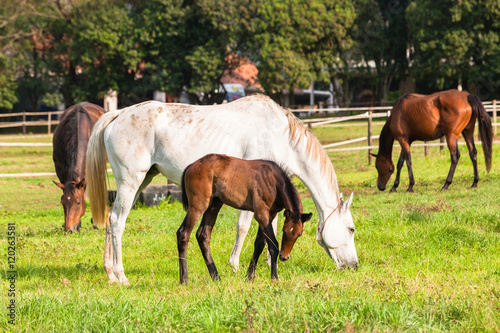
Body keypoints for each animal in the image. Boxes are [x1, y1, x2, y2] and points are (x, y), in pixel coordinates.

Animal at [179, 153, 312, 282]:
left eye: (299, 234)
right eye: (284, 230)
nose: (284, 257)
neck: (274, 181)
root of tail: (192, 166)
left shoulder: (270, 215)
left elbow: (260, 244)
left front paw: (249, 276)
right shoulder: (261, 214)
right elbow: (273, 244)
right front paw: (274, 278)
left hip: (214, 204)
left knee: (203, 235)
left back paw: (216, 277)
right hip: (198, 205)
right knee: (183, 233)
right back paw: (184, 279)